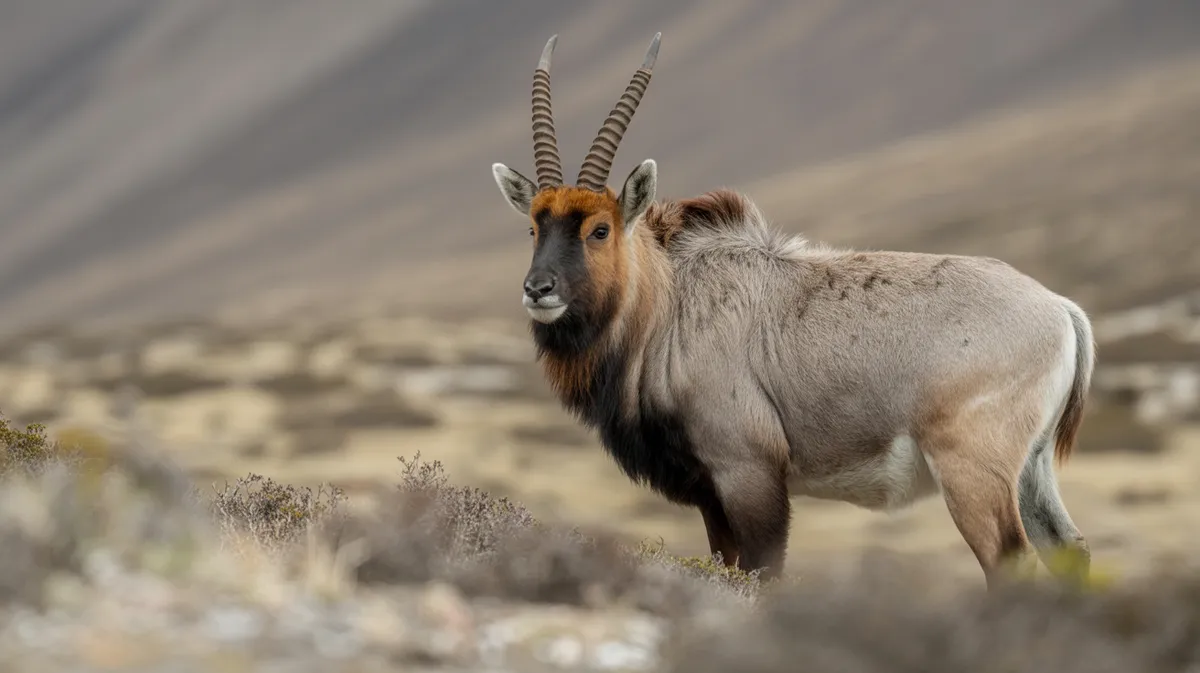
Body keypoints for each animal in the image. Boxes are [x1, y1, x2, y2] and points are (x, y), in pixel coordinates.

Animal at [490, 33, 1094, 587]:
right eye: (534, 226)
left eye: (599, 229)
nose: (539, 289)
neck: (671, 306)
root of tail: (1061, 309)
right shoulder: (710, 494)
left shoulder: (749, 476)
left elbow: (764, 575)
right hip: (1031, 473)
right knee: (1070, 551)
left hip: (972, 474)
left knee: (1009, 561)